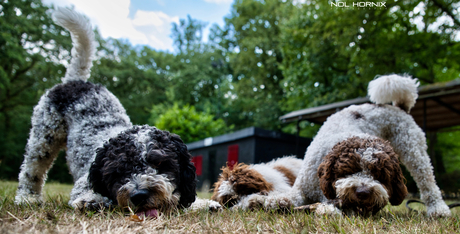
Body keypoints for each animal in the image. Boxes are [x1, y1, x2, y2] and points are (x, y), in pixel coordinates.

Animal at [14, 8, 197, 218]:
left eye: (160, 163)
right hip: (43, 139)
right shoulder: (83, 182)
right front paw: (92, 201)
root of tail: (76, 81)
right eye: (119, 170)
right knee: (31, 170)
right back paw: (27, 197)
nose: (140, 195)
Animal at [243, 75, 452, 218]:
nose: (363, 192)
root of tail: (398, 107)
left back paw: (438, 209)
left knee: (428, 183)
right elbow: (287, 196)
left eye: (380, 175)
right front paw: (267, 200)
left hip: (414, 152)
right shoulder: (301, 189)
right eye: (348, 169)